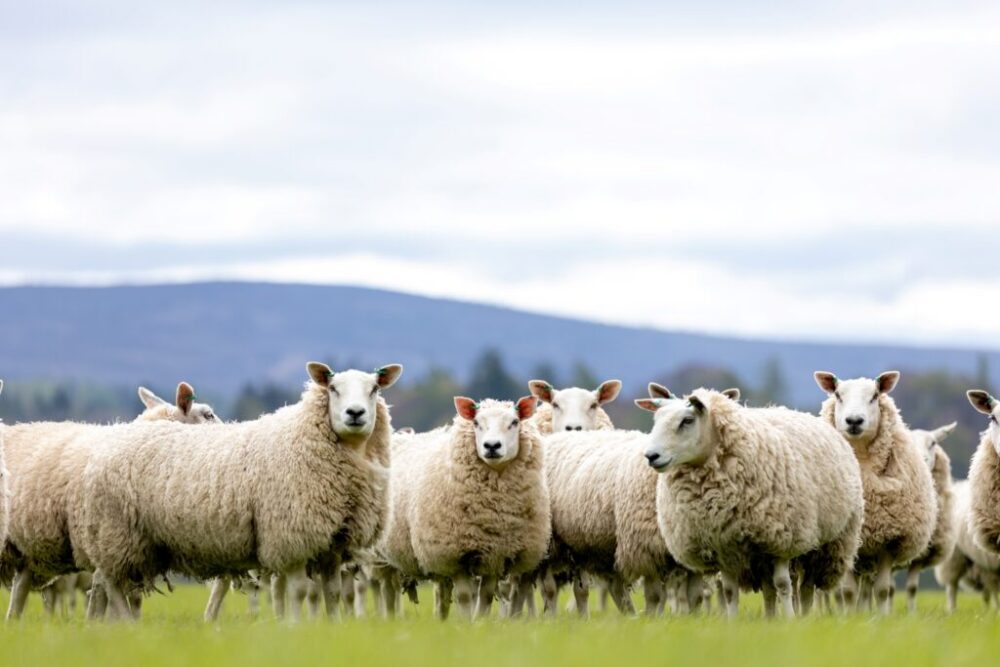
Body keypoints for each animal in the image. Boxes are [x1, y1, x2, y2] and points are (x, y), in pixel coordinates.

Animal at [0, 382, 219, 621]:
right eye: (208, 414)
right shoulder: (109, 540)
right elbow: (104, 592)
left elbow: (106, 595)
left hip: (25, 551)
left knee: (19, 590)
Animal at [80, 362, 401, 620]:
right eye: (333, 388)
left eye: (374, 389)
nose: (355, 413)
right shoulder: (292, 537)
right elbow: (297, 591)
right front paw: (297, 629)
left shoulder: (332, 543)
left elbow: (331, 593)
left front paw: (333, 629)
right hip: (118, 532)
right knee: (109, 584)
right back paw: (121, 625)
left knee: (104, 584)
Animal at [379, 396, 550, 620]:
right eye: (476, 423)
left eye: (514, 422)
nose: (492, 446)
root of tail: (404, 436)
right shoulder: (454, 554)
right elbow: (465, 596)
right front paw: (466, 622)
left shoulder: (496, 555)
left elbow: (485, 596)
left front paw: (480, 621)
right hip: (382, 557)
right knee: (388, 591)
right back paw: (390, 618)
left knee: (441, 593)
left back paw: (441, 619)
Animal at [643, 386, 864, 618]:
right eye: (656, 419)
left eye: (687, 420)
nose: (651, 456)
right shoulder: (724, 545)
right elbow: (730, 592)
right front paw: (732, 621)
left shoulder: (781, 539)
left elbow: (783, 584)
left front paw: (790, 619)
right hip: (761, 554)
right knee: (769, 589)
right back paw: (770, 617)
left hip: (826, 545)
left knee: (805, 588)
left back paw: (802, 616)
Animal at [815, 371, 937, 614]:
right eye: (838, 395)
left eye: (874, 396)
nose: (854, 421)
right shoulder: (848, 539)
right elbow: (847, 592)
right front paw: (849, 618)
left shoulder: (888, 541)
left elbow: (882, 590)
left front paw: (879, 618)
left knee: (867, 588)